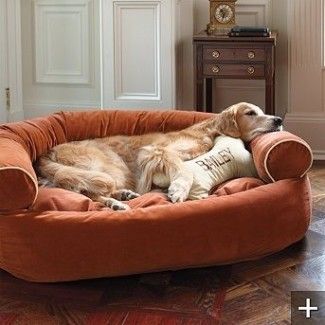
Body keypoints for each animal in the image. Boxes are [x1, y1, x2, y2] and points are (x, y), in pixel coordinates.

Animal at [36, 102, 282, 210]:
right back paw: (117, 202)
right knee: (86, 192)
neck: (207, 131)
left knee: (82, 191)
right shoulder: (157, 150)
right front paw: (178, 190)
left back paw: (121, 198)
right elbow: (183, 170)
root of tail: (48, 152)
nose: (279, 120)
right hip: (110, 167)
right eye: (250, 113)